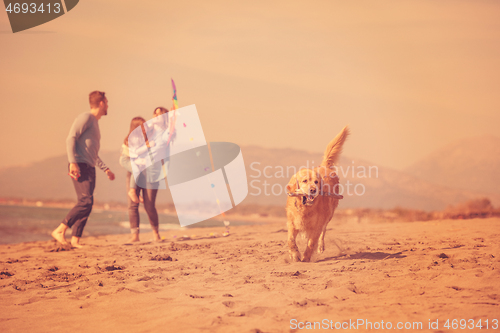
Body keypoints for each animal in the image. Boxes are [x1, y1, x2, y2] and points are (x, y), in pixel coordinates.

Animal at [288, 126, 350, 260]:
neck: (305, 209)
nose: (313, 190)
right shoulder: (291, 222)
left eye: (316, 182)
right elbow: (290, 240)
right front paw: (294, 254)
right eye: (305, 181)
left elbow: (312, 242)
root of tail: (325, 166)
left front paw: (305, 258)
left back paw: (320, 246)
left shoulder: (317, 224)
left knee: (323, 231)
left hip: (329, 215)